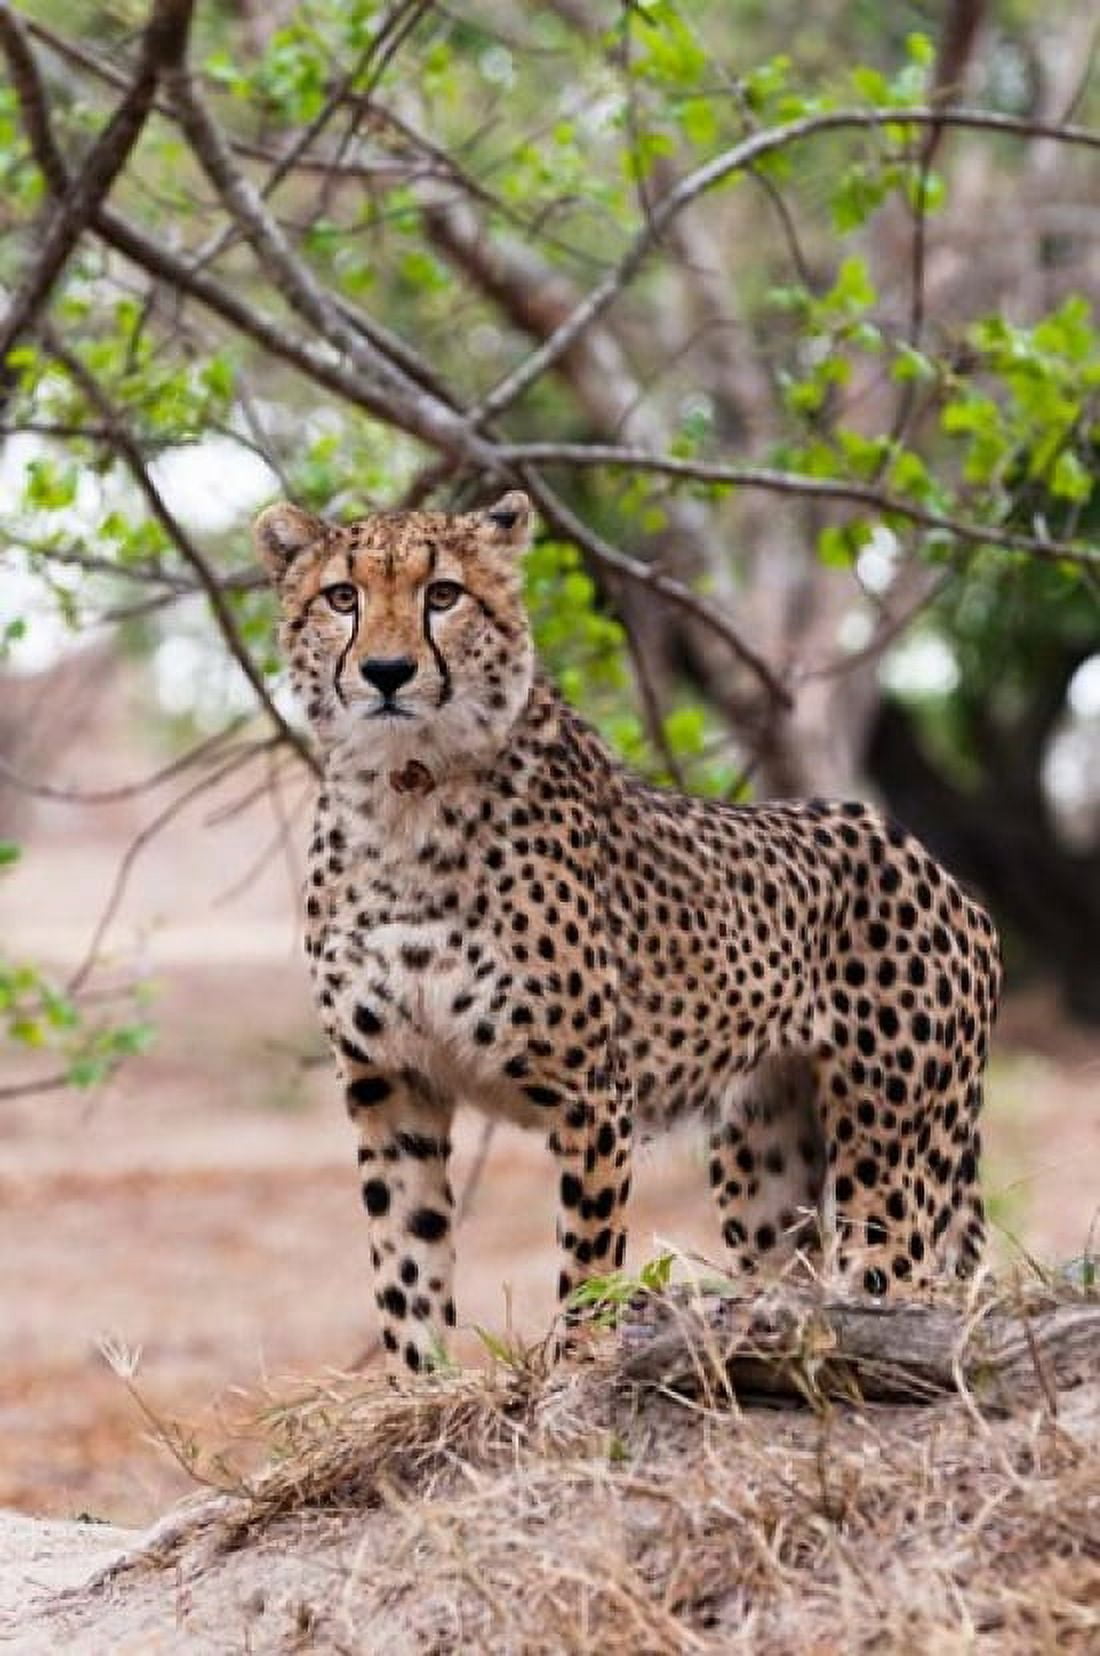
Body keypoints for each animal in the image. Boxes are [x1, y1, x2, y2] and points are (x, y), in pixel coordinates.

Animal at [255, 488, 1001, 1374]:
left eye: (443, 594)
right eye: (343, 597)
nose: (387, 672)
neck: (404, 792)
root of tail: (936, 868)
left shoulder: (588, 1092)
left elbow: (587, 1256)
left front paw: (579, 1361)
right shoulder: (389, 1082)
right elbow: (407, 1261)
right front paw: (417, 1382)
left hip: (889, 1156)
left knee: (897, 1277)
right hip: (764, 1159)